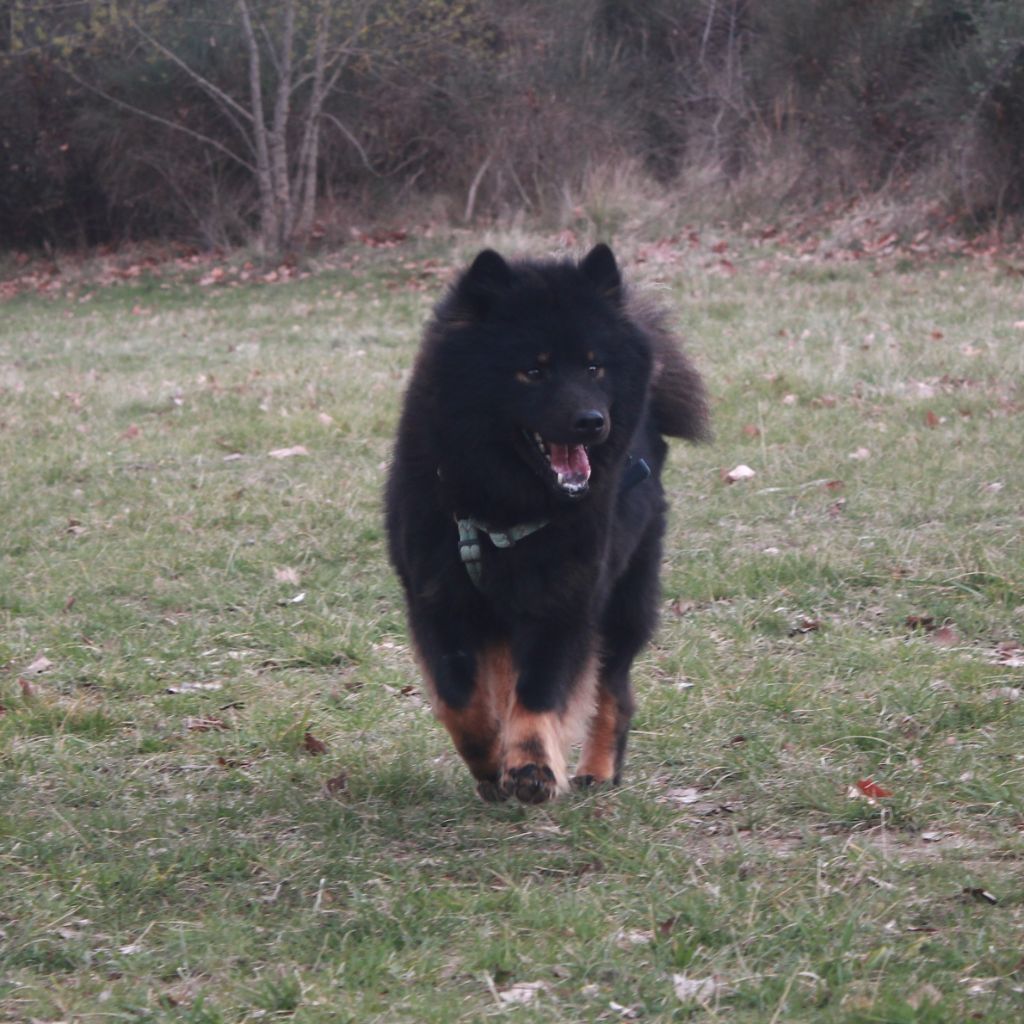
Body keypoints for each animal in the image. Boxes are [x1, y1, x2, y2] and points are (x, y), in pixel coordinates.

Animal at [385, 243, 704, 802]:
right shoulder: (439, 599)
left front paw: (532, 766)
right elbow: (460, 700)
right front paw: (491, 757)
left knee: (614, 693)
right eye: (533, 372)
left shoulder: (565, 601)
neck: (503, 506)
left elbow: (539, 692)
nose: (592, 422)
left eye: (595, 367)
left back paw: (597, 770)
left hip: (624, 603)